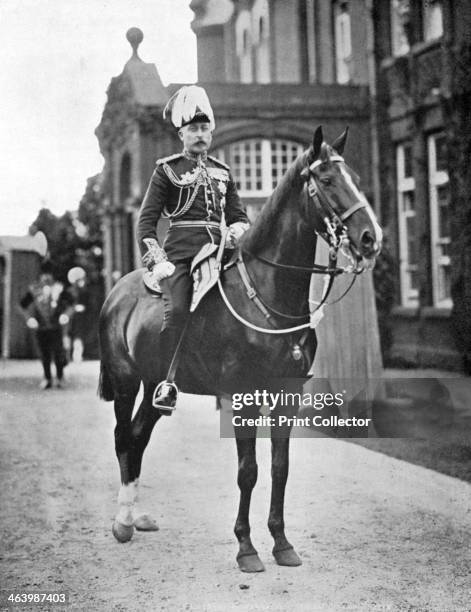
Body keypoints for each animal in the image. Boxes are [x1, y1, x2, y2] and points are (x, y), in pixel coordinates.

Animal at [97, 128, 382, 572]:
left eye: (353, 176)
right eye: (327, 180)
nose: (372, 238)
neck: (270, 296)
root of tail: (117, 292)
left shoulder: (287, 394)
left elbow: (280, 467)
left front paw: (281, 542)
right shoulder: (240, 395)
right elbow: (248, 470)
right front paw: (246, 547)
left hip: (153, 382)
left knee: (139, 436)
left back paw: (136, 514)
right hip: (125, 382)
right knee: (123, 437)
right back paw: (123, 521)